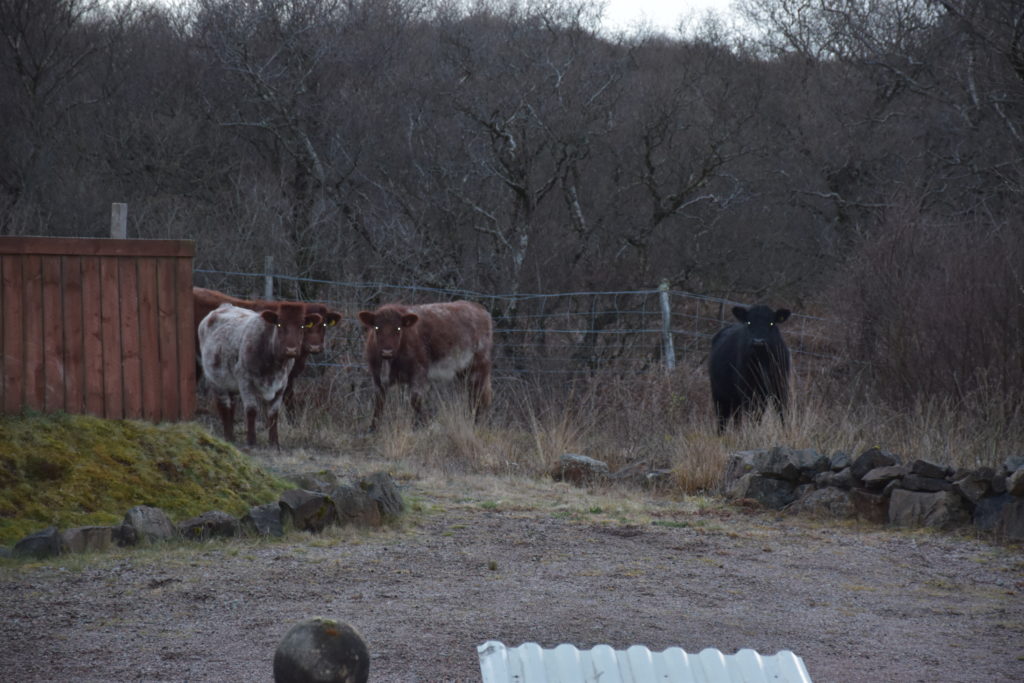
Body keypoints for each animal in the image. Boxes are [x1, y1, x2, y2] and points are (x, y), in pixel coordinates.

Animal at [198, 301, 319, 446]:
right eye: (279, 325)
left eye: (302, 326)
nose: (291, 350)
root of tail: (224, 306)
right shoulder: (245, 381)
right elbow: (251, 410)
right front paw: (251, 440)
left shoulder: (282, 384)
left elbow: (273, 413)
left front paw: (274, 442)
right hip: (216, 380)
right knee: (224, 406)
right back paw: (228, 436)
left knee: (232, 405)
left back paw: (232, 436)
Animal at [356, 301, 491, 430]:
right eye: (377, 328)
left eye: (398, 328)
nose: (387, 352)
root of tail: (478, 308)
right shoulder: (376, 377)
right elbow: (379, 402)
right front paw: (373, 427)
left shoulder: (418, 372)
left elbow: (415, 399)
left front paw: (419, 425)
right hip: (464, 372)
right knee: (473, 395)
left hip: (479, 367)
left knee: (480, 396)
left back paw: (477, 424)